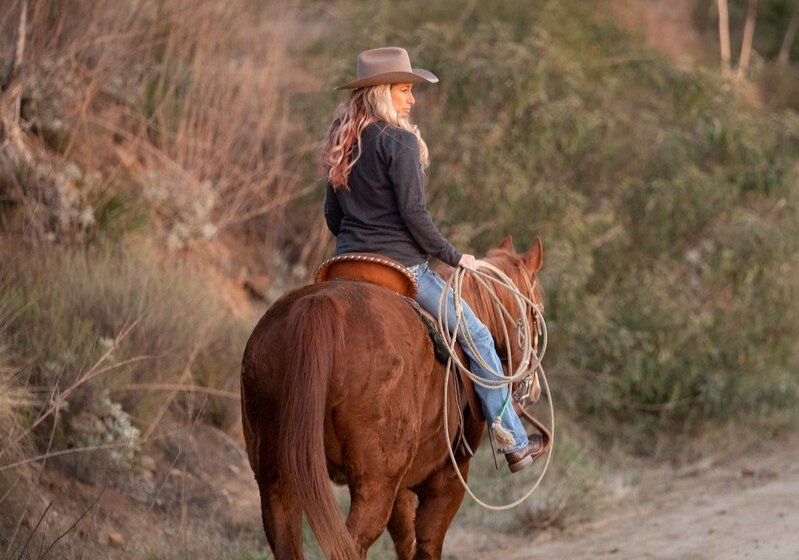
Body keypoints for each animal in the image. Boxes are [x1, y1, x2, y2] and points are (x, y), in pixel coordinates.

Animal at [241, 236, 548, 560]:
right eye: (537, 309)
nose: (534, 389)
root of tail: (319, 307)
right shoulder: (448, 479)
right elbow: (427, 544)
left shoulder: (401, 489)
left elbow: (406, 542)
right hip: (375, 486)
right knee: (351, 544)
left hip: (275, 481)